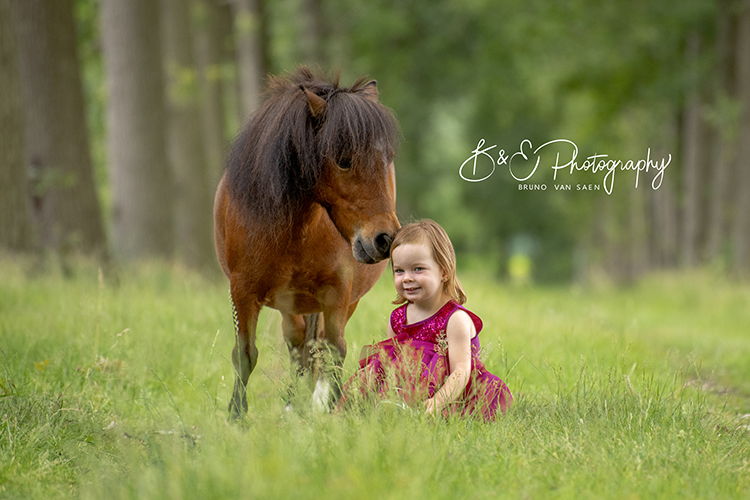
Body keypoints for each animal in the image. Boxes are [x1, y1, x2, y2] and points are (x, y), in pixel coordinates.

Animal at [214, 67, 402, 418]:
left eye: (388, 158)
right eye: (343, 160)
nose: (385, 239)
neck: (293, 231)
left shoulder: (337, 292)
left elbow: (334, 352)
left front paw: (330, 411)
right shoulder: (243, 292)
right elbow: (245, 354)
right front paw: (236, 415)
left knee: (315, 348)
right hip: (289, 305)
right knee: (298, 345)